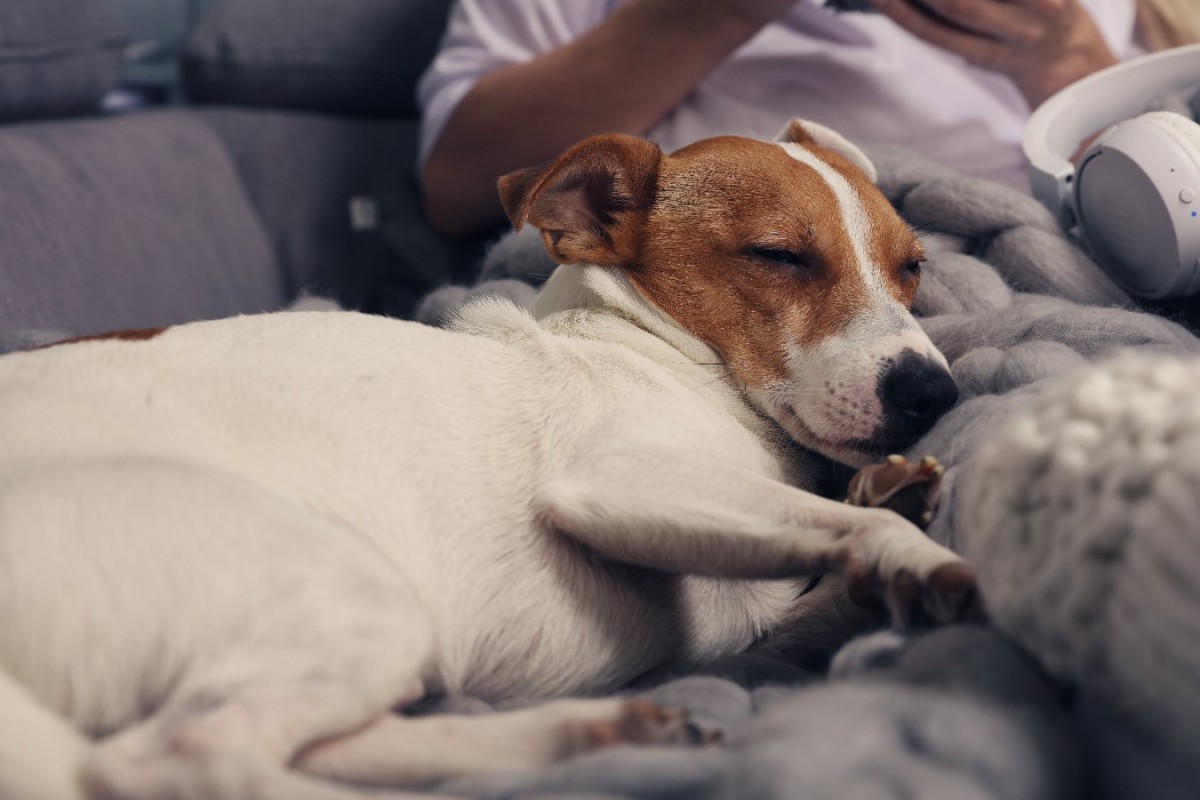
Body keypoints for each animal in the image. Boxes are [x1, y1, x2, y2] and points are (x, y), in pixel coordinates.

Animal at [0, 118, 969, 800]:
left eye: (912, 267)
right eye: (778, 256)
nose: (934, 393)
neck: (654, 352)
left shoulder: (763, 611)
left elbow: (830, 556)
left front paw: (892, 502)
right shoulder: (615, 482)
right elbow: (841, 523)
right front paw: (919, 549)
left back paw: (594, 733)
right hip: (343, 587)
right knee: (175, 759)